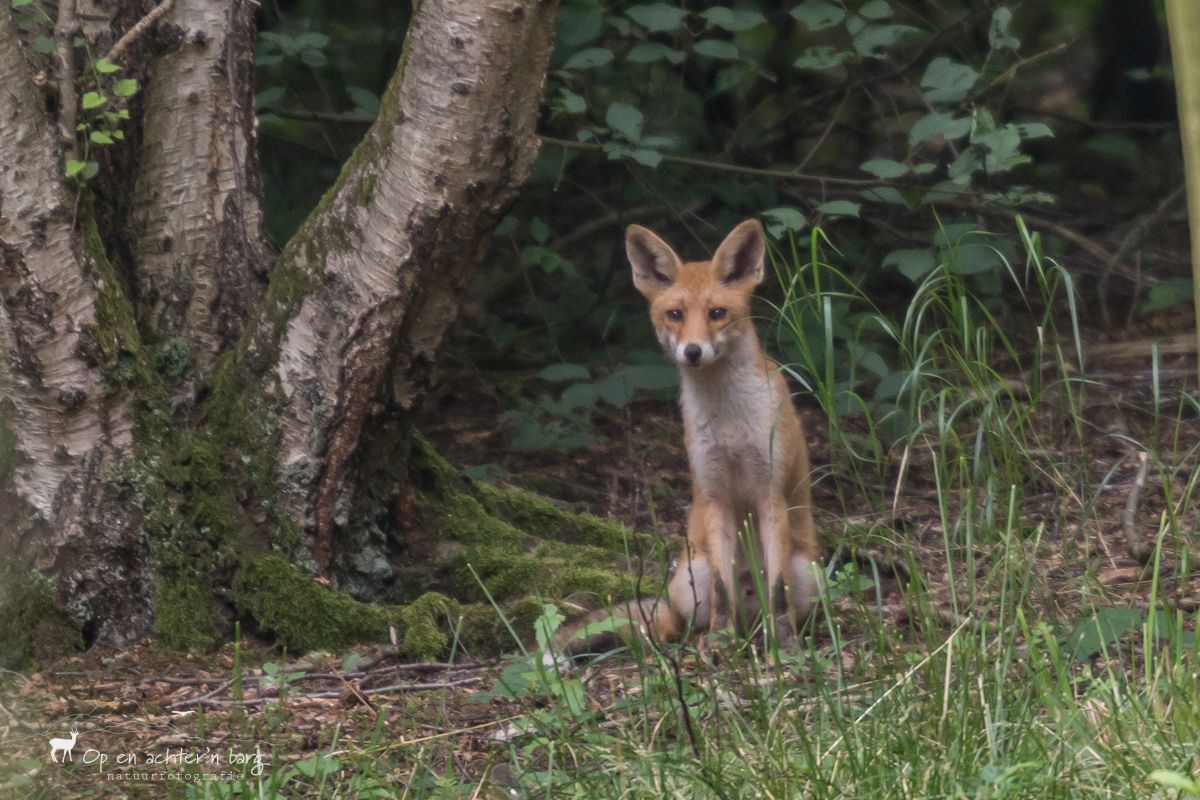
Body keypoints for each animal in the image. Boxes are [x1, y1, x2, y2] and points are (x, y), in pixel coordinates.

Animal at [554, 219, 825, 657]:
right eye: (675, 315)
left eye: (717, 314)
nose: (693, 352)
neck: (730, 421)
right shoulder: (714, 494)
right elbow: (721, 590)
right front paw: (720, 642)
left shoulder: (770, 494)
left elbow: (777, 590)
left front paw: (783, 645)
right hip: (689, 576)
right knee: (675, 624)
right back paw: (705, 639)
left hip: (810, 572)